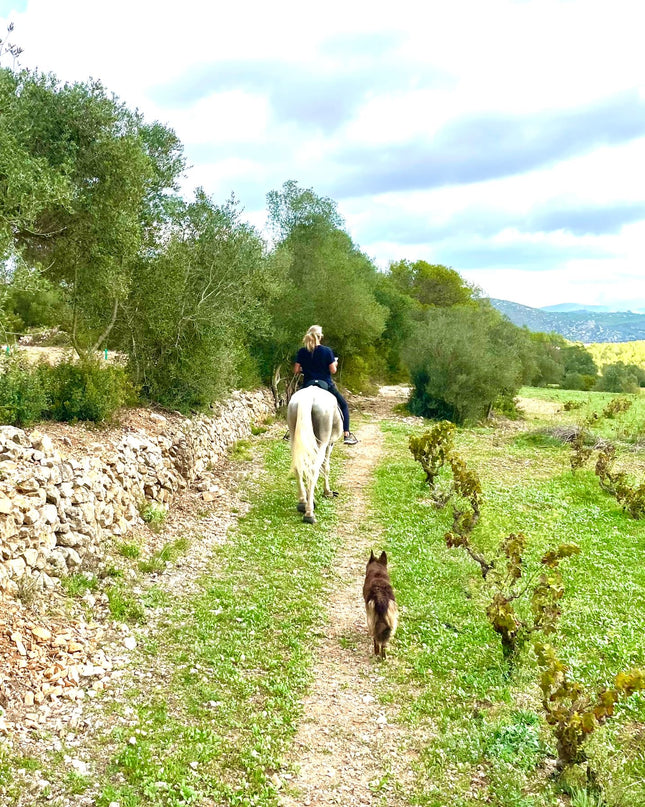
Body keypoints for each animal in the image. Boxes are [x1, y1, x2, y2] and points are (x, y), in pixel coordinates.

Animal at [287, 385, 343, 523]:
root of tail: (308, 397)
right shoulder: (329, 444)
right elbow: (326, 467)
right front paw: (327, 492)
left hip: (295, 440)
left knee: (298, 467)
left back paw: (303, 502)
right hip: (322, 443)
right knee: (313, 471)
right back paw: (309, 513)